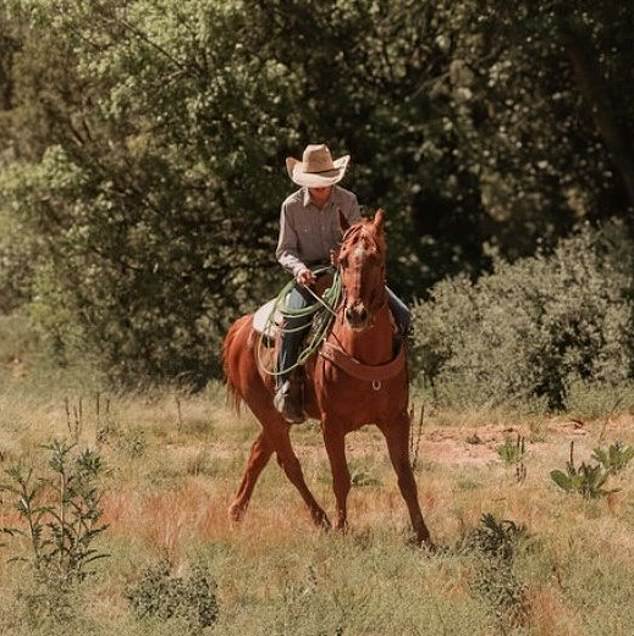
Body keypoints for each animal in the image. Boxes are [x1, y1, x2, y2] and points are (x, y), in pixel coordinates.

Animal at [221, 210, 430, 548]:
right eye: (342, 260)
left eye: (378, 258)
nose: (356, 314)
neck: (364, 353)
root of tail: (241, 329)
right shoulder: (331, 425)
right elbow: (341, 478)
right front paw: (343, 530)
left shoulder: (397, 420)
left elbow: (406, 477)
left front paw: (424, 535)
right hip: (267, 412)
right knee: (289, 464)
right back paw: (321, 519)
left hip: (277, 418)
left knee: (258, 454)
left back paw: (236, 512)